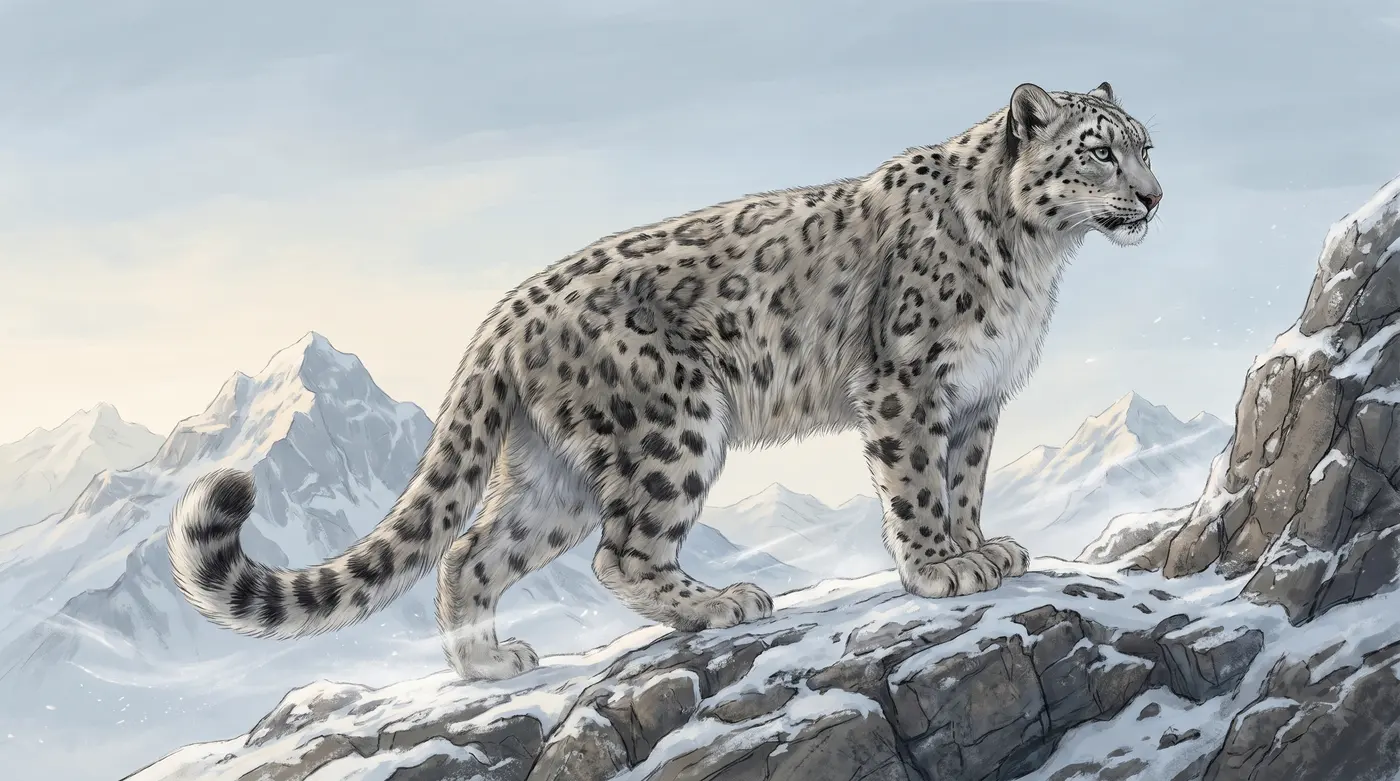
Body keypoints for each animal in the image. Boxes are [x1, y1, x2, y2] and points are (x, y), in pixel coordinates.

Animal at [168, 81, 1162, 681]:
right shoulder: (908, 382)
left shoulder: (978, 398)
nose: (1154, 197)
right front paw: (938, 567)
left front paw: (979, 547)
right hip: (670, 423)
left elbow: (964, 481)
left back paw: (490, 662)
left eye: (1147, 145)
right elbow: (917, 484)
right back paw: (719, 602)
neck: (1037, 259)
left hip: (556, 475)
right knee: (622, 551)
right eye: (1098, 152)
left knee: (471, 549)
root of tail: (503, 315)